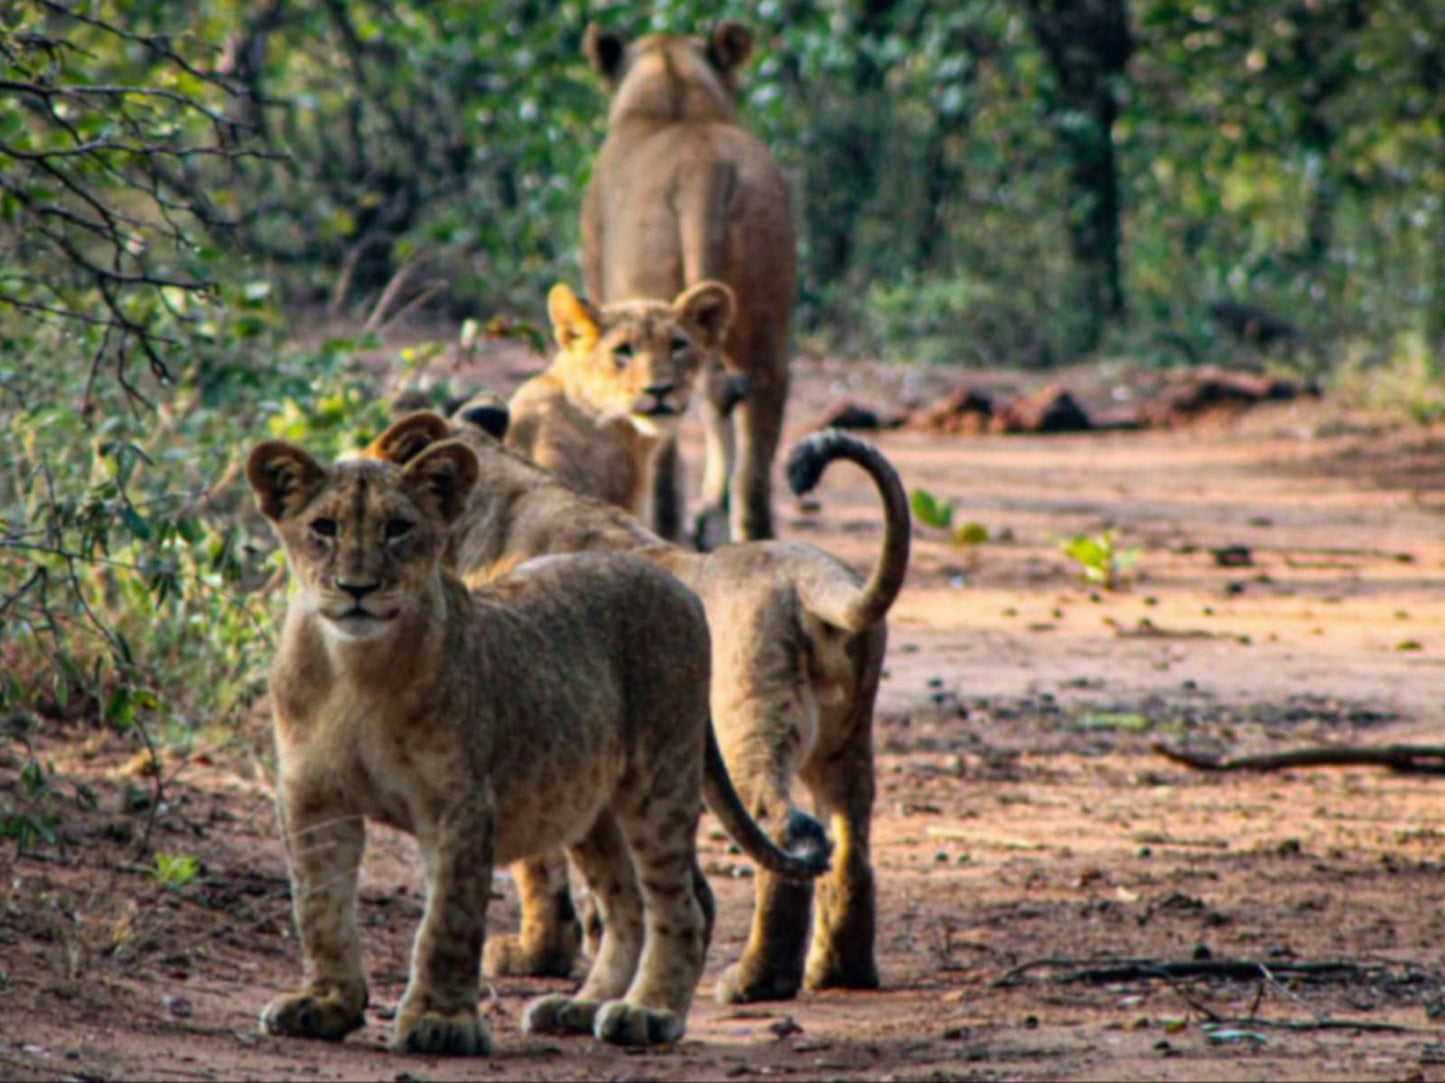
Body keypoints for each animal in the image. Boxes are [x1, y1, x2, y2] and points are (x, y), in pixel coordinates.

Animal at [578, 23, 803, 549]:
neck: (677, 102)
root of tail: (704, 169)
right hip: (766, 313)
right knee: (753, 448)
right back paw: (747, 535)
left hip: (649, 299)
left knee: (661, 429)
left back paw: (666, 529)